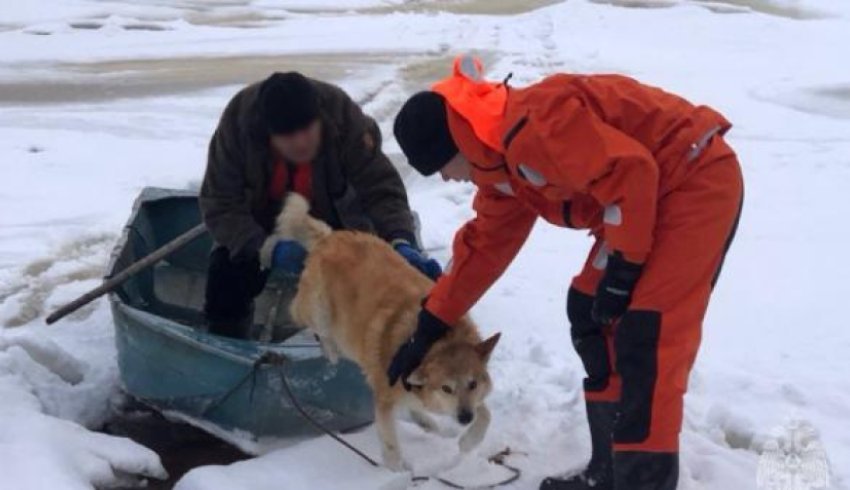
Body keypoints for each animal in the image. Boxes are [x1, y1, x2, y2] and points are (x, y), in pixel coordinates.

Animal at [266, 193, 496, 468]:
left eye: (472, 384)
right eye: (446, 388)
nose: (464, 418)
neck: (432, 341)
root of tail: (329, 238)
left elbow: (486, 413)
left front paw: (469, 441)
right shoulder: (384, 399)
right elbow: (390, 443)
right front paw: (396, 471)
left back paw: (428, 423)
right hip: (318, 310)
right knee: (308, 320)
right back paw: (330, 350)